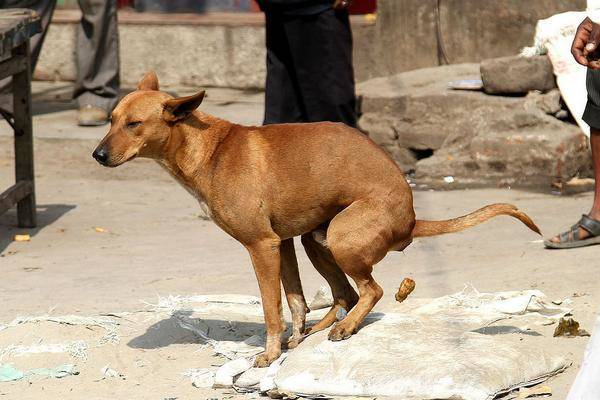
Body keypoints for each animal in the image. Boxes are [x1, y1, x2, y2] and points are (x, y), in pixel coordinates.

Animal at [91, 72, 540, 368]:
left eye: (134, 124)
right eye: (110, 119)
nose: (97, 155)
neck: (209, 149)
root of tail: (412, 218)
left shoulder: (261, 246)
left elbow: (271, 308)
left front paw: (270, 353)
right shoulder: (284, 243)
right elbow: (296, 300)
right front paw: (291, 338)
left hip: (343, 237)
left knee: (371, 290)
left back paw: (343, 328)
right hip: (315, 240)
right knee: (346, 294)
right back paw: (322, 328)